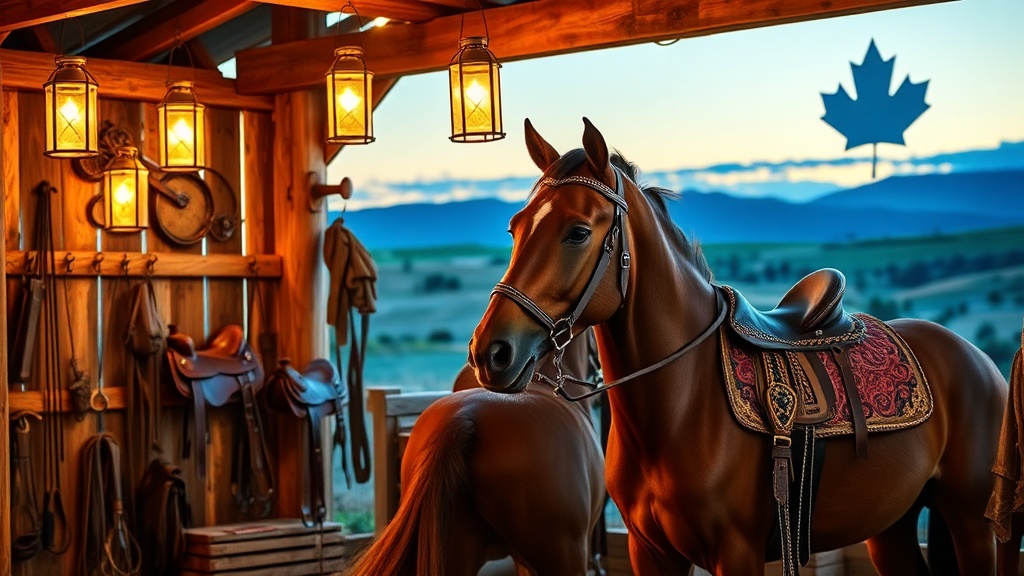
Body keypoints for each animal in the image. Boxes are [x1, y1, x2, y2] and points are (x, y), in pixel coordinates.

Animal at [467, 117, 1009, 575]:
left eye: (578, 232)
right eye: (516, 227)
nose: (490, 352)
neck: (681, 405)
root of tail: (978, 360)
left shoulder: (737, 551)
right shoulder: (650, 552)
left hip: (972, 524)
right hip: (893, 527)